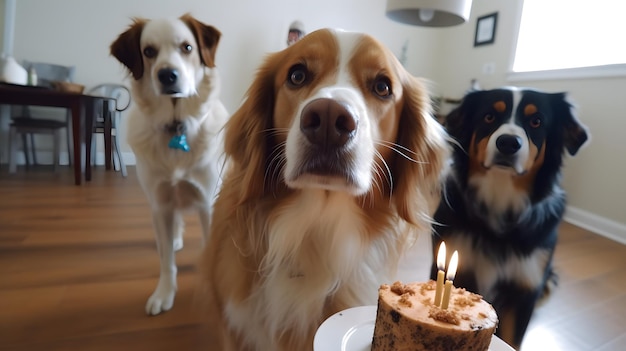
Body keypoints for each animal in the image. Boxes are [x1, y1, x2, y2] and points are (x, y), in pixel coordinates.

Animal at [109, 14, 227, 316]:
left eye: (187, 47)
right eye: (148, 51)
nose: (167, 75)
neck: (177, 124)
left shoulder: (208, 202)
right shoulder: (161, 204)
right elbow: (166, 261)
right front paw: (164, 293)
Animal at [432, 88, 588, 350]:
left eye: (536, 121)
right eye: (489, 117)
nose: (508, 143)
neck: (501, 196)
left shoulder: (524, 290)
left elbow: (513, 338)